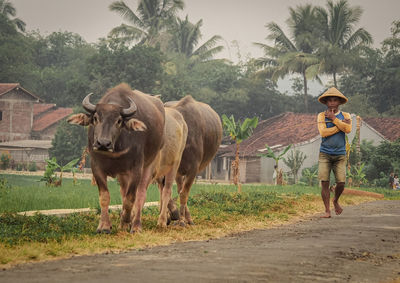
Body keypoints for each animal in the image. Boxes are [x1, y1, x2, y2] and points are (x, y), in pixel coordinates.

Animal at [68, 83, 165, 234]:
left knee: (141, 195)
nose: (103, 143)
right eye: (95, 118)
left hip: (149, 165)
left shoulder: (136, 168)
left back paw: (135, 225)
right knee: (124, 192)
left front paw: (126, 220)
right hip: (123, 174)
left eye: (119, 121)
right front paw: (104, 226)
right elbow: (105, 196)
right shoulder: (96, 167)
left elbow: (130, 198)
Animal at [165, 95, 223, 226]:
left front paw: (183, 220)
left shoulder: (193, 169)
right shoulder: (176, 171)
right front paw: (179, 217)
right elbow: (177, 192)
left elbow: (184, 194)